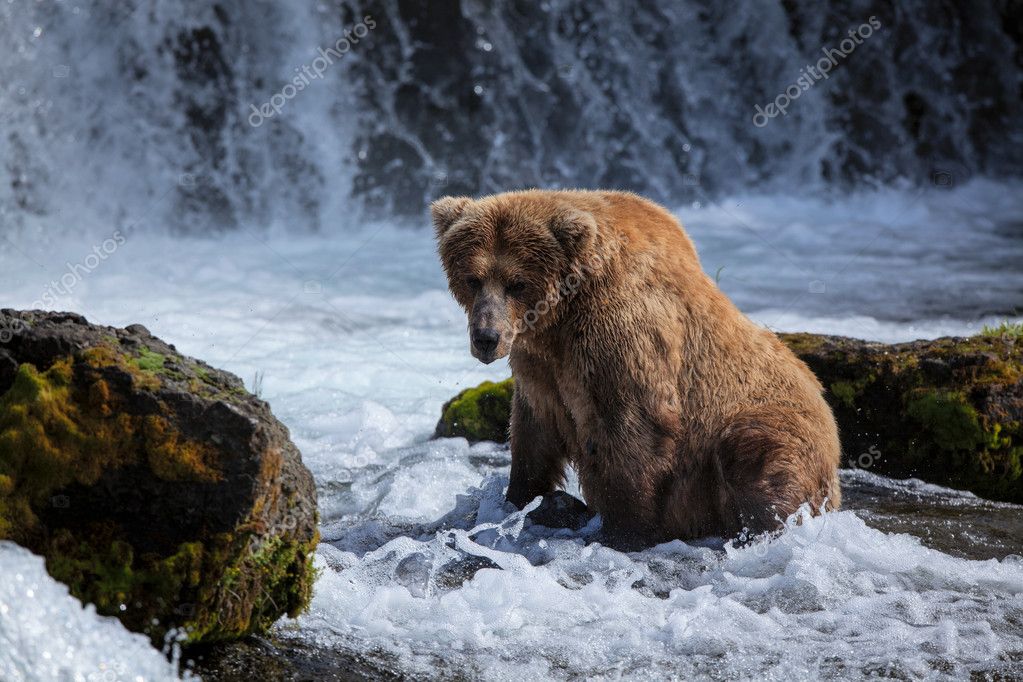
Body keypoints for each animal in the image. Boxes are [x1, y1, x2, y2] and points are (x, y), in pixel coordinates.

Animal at [432, 189, 841, 547]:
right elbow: (534, 428)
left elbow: (634, 425)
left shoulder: (621, 332)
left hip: (765, 421)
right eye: (473, 279)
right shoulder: (538, 363)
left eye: (516, 283)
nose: (486, 337)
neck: (560, 316)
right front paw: (518, 497)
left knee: (758, 457)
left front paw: (622, 533)